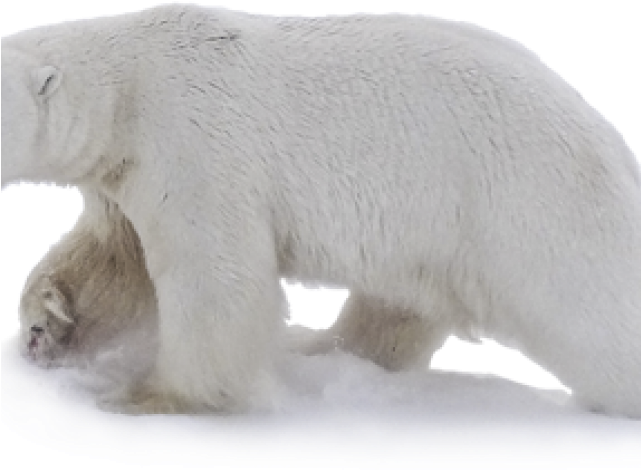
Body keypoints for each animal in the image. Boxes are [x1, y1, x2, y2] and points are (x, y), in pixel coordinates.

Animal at [2, 3, 640, 417]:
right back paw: (322, 351)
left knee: (598, 324)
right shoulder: (123, 170)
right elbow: (116, 259)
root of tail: (620, 153)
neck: (130, 80)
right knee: (400, 304)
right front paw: (45, 326)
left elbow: (213, 277)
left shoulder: (193, 141)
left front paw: (146, 396)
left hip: (534, 214)